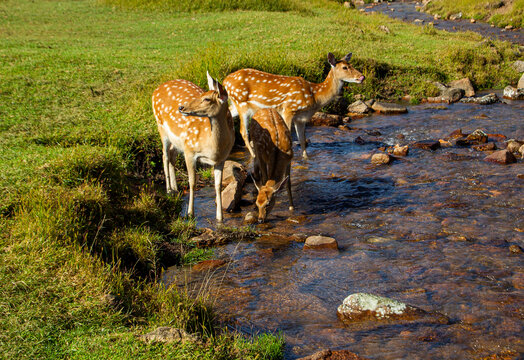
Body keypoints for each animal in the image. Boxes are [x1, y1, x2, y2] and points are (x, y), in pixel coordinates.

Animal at [151, 74, 233, 222]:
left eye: (207, 98)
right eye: (202, 94)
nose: (181, 107)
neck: (214, 149)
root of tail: (156, 89)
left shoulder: (222, 159)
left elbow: (218, 186)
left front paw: (220, 218)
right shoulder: (189, 150)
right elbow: (192, 182)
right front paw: (190, 214)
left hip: (176, 141)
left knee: (171, 156)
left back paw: (175, 189)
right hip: (160, 126)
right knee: (164, 156)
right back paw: (169, 190)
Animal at [222, 52, 364, 160]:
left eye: (351, 65)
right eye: (345, 67)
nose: (362, 77)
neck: (314, 96)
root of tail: (224, 81)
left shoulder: (301, 118)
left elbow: (302, 140)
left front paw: (306, 158)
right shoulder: (289, 109)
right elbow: (287, 136)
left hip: (235, 104)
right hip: (242, 103)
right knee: (243, 131)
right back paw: (253, 156)